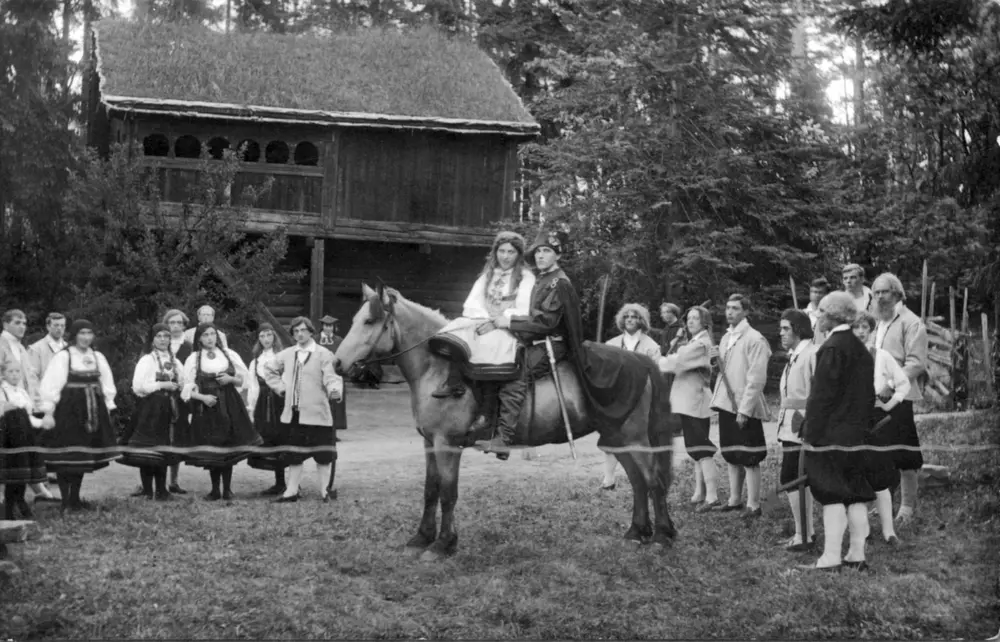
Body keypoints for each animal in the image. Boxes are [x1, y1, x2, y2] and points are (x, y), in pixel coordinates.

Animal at [336, 282, 680, 556]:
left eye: (369, 321)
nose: (338, 363)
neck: (439, 370)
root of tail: (641, 360)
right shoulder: (430, 443)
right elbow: (430, 490)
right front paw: (421, 537)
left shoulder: (447, 445)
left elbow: (448, 492)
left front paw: (444, 544)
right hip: (618, 438)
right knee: (638, 482)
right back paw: (636, 532)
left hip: (634, 438)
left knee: (653, 481)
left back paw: (662, 536)